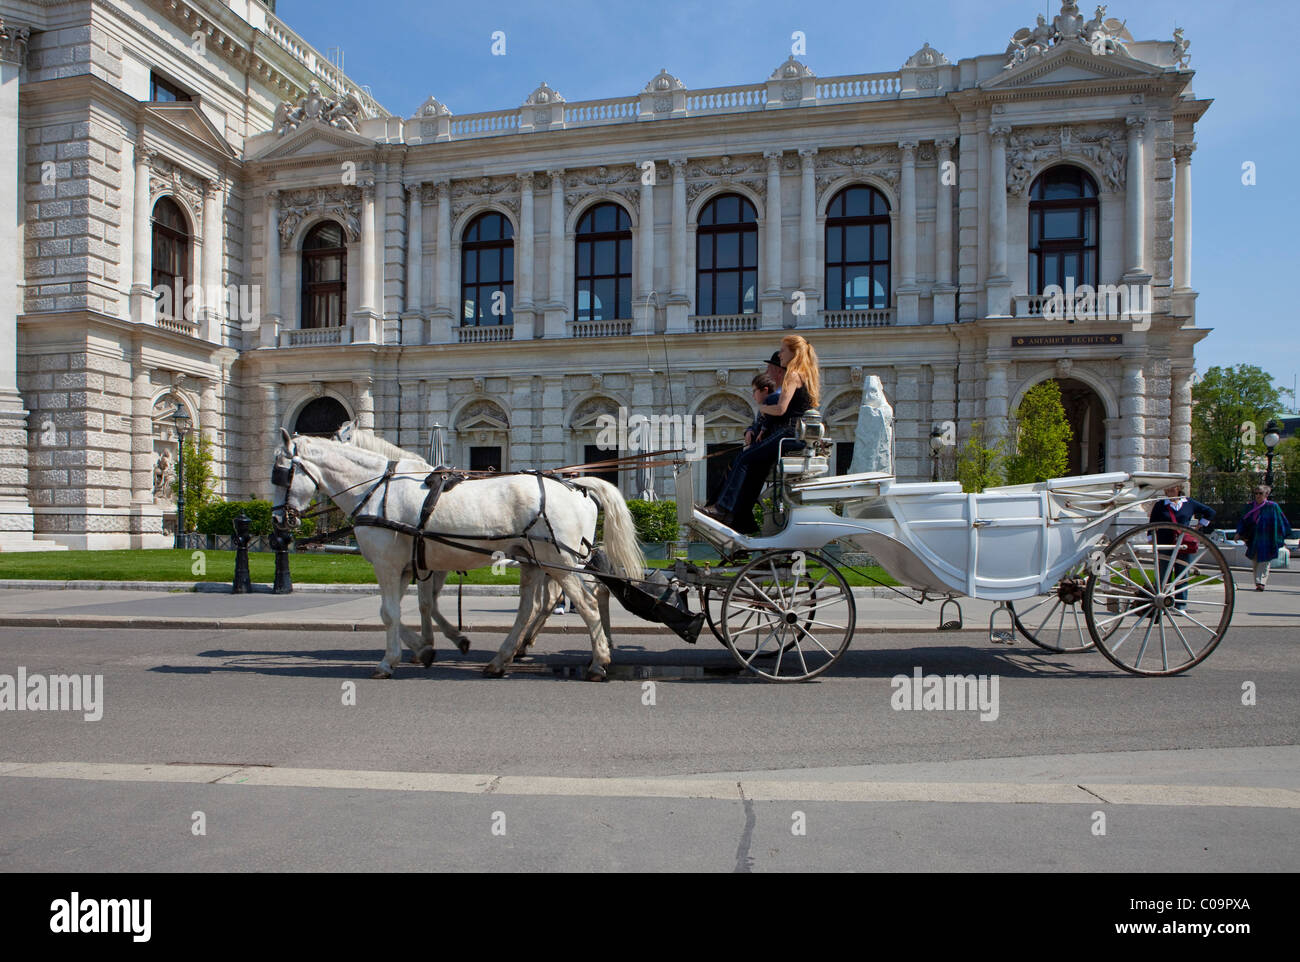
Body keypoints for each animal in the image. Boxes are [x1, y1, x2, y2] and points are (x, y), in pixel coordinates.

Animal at [274, 431, 644, 681]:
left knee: (588, 602)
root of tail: (578, 487)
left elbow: (392, 613)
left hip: (562, 562)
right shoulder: (414, 565)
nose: (278, 521)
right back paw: (504, 658)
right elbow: (414, 608)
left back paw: (598, 661)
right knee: (533, 607)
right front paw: (424, 647)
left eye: (280, 472)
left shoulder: (389, 565)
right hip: (537, 561)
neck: (377, 489)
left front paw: (390, 660)